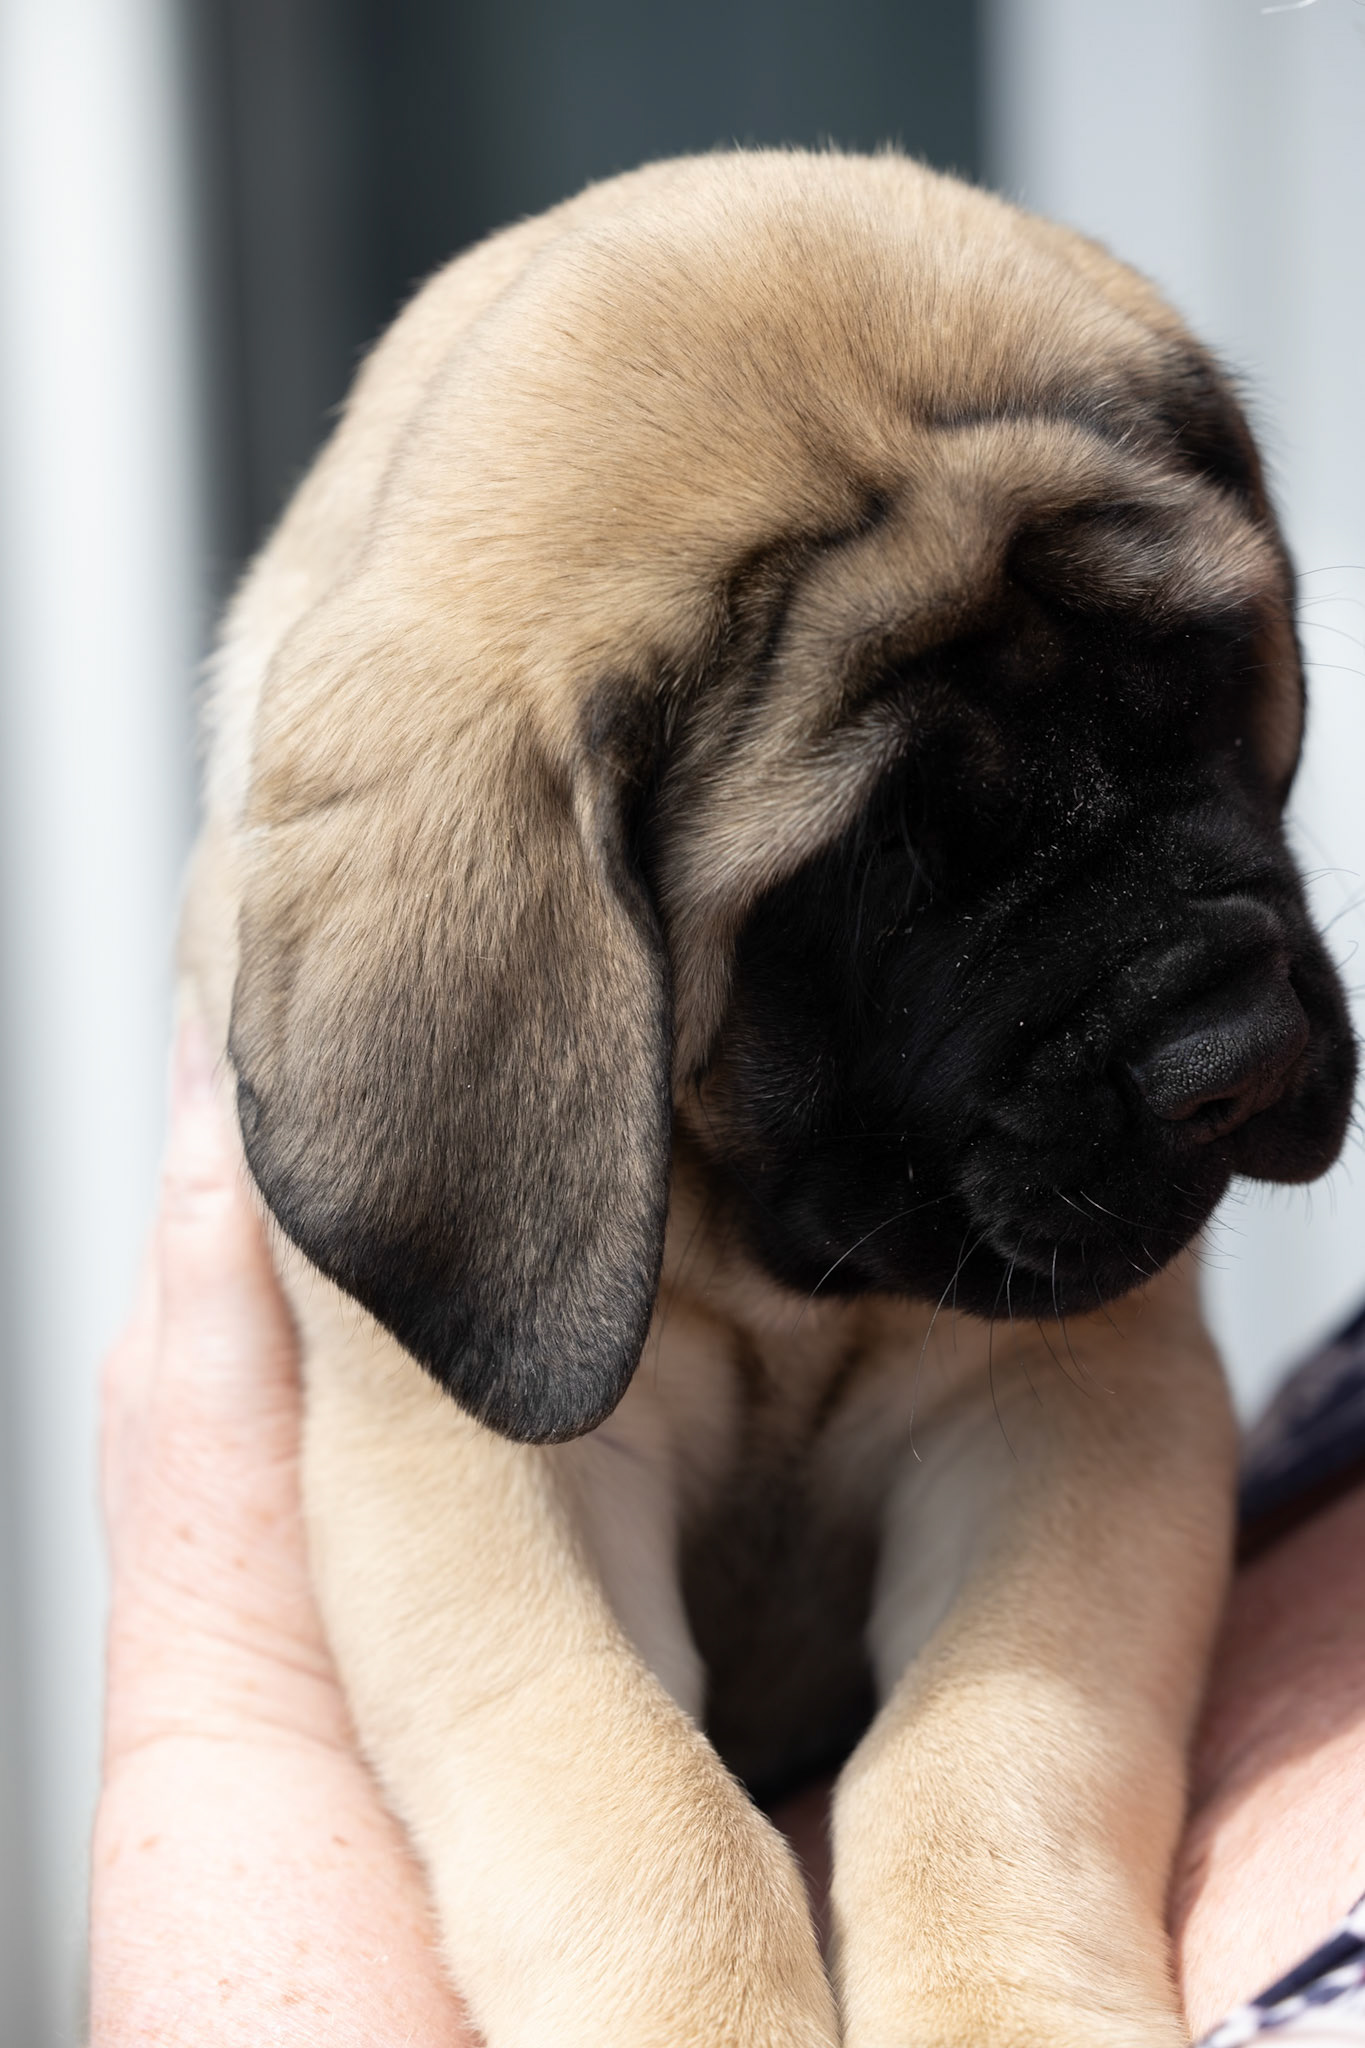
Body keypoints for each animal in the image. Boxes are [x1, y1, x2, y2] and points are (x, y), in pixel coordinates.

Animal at [179, 150, 1356, 2046]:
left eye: (1199, 689)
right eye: (881, 874)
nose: (1232, 1059)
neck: (777, 1281)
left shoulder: (1062, 1407)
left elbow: (982, 1751)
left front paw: (1005, 2005)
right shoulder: (475, 1480)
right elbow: (637, 1797)